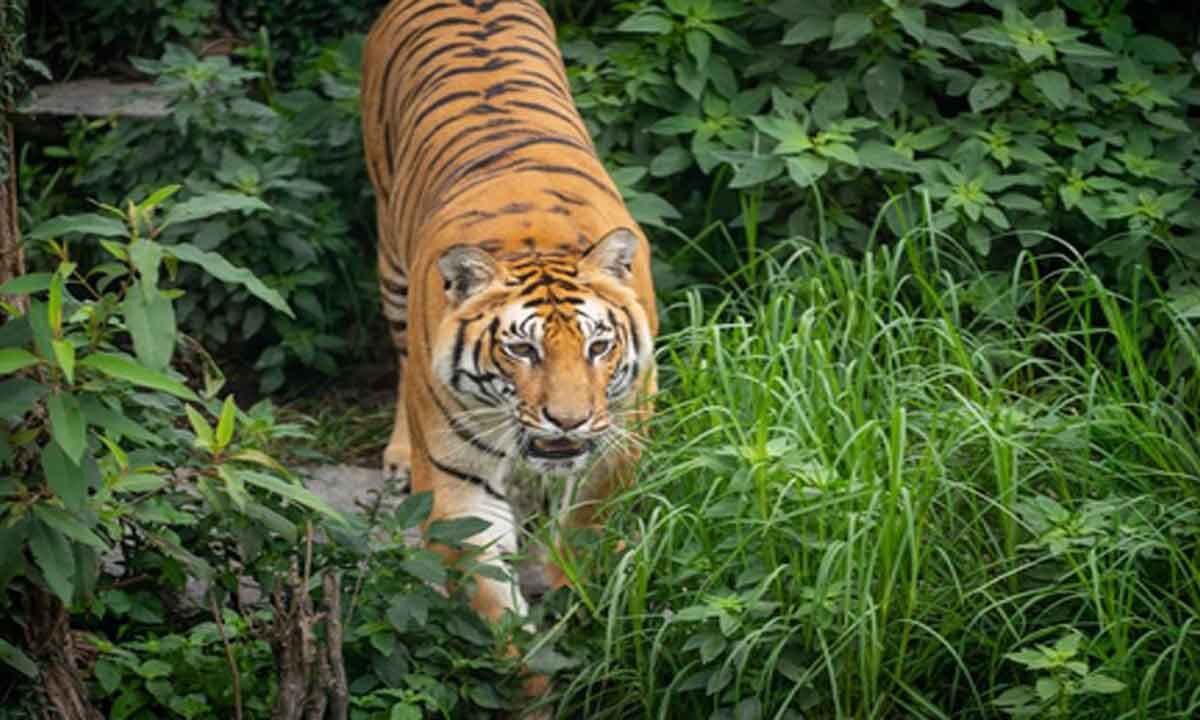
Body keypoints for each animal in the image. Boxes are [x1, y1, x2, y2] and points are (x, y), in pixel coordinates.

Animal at [360, 0, 658, 678]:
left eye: (599, 347)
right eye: (522, 349)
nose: (567, 421)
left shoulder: (618, 446)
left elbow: (583, 536)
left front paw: (565, 595)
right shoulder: (458, 476)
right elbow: (495, 608)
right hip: (390, 260)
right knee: (399, 356)